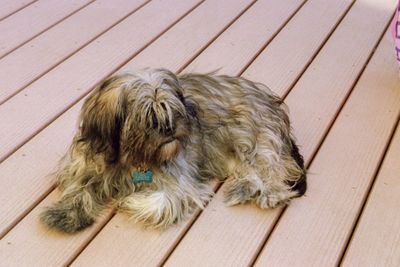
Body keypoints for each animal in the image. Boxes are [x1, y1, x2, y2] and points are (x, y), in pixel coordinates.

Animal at [39, 68, 306, 233]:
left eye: (171, 110)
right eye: (146, 116)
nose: (168, 128)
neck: (130, 158)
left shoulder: (180, 180)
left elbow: (163, 201)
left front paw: (131, 200)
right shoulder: (84, 163)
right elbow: (78, 185)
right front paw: (67, 212)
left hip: (253, 136)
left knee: (273, 167)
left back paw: (269, 192)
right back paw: (245, 187)